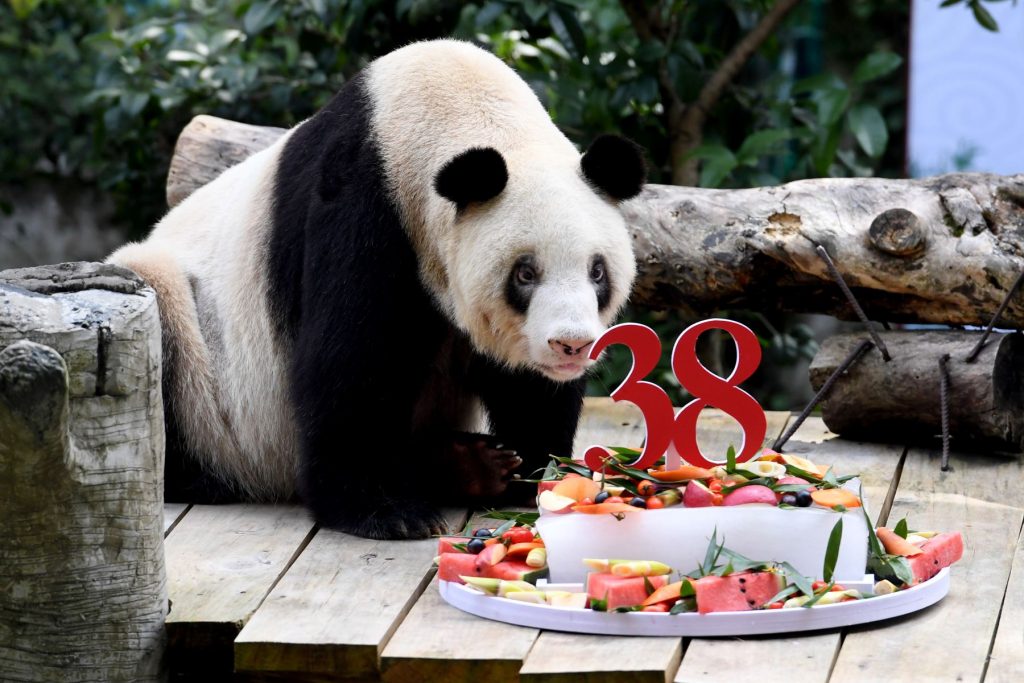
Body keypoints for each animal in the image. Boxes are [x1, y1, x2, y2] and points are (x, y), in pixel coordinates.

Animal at [108, 39, 645, 539]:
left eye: (597, 271)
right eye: (525, 274)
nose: (571, 344)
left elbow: (528, 386)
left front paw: (537, 475)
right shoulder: (366, 205)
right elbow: (350, 359)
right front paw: (383, 512)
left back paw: (469, 466)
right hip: (204, 364)